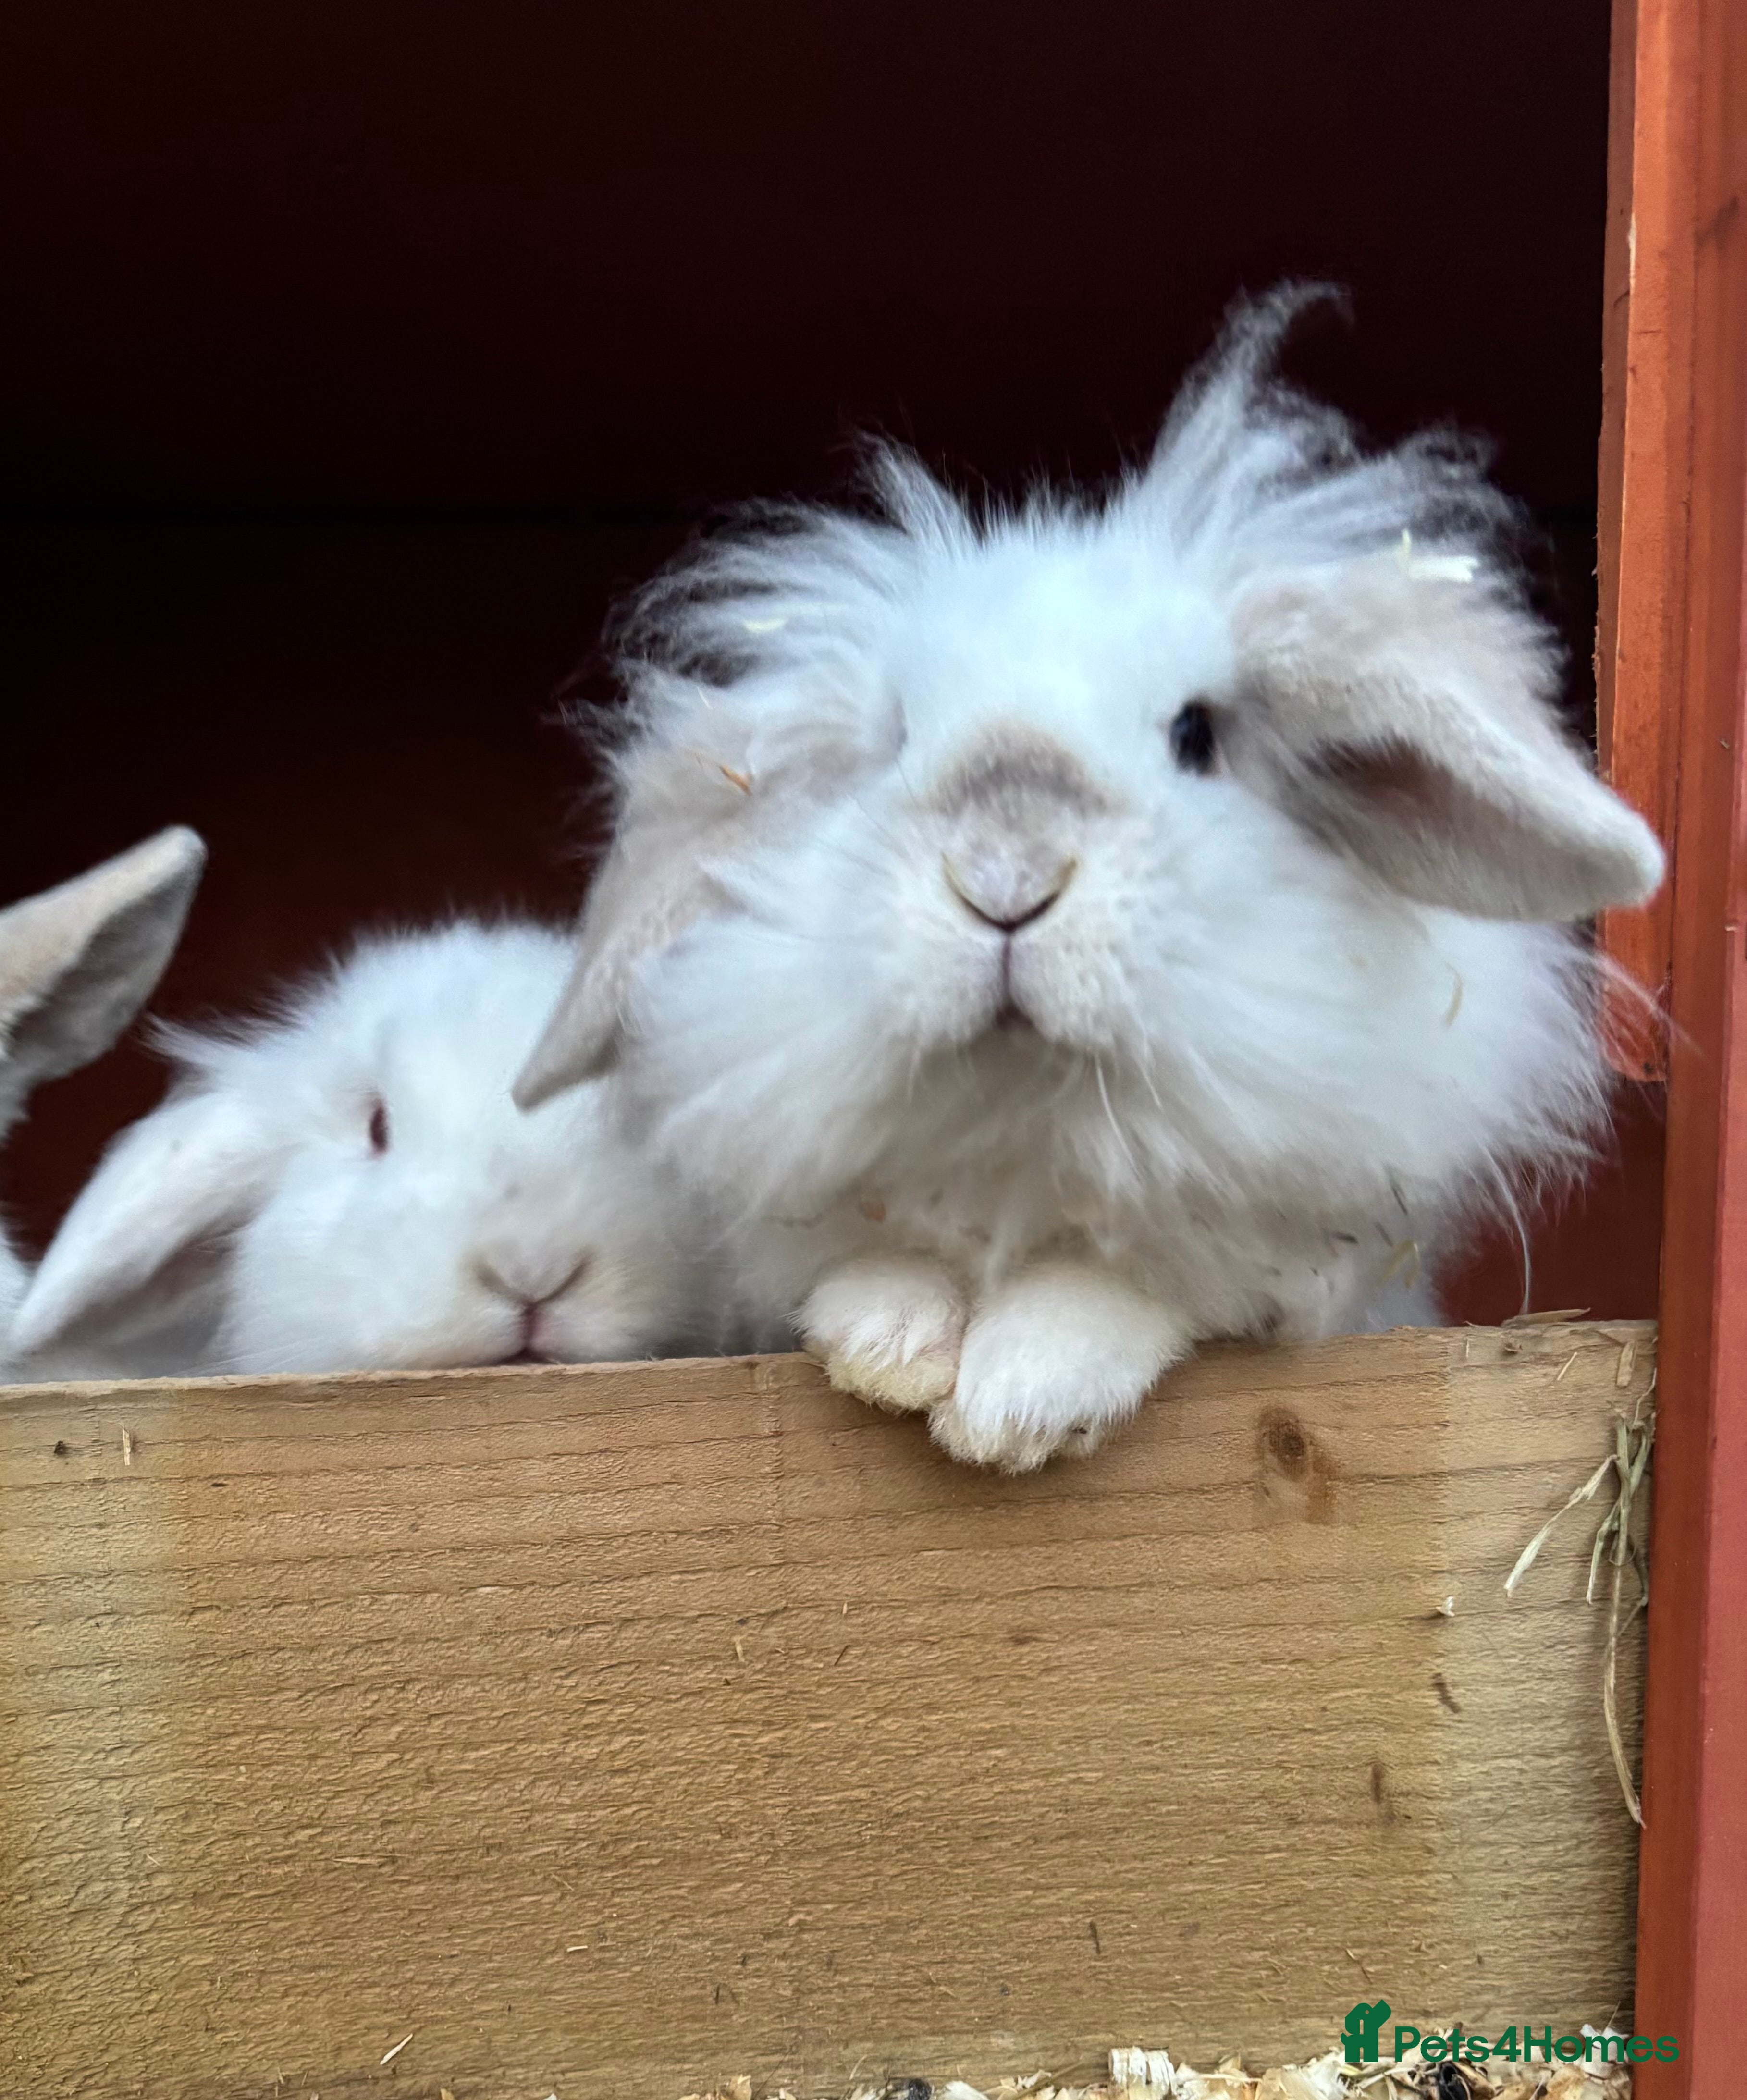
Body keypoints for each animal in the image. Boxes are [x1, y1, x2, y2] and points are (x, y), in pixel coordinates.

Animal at [511, 285, 1666, 1473]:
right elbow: (856, 1262)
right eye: (894, 741)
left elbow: (1131, 1283)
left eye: (1197, 735)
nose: (1005, 880)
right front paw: (891, 1344)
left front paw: (1014, 1398)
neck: (1028, 1125)